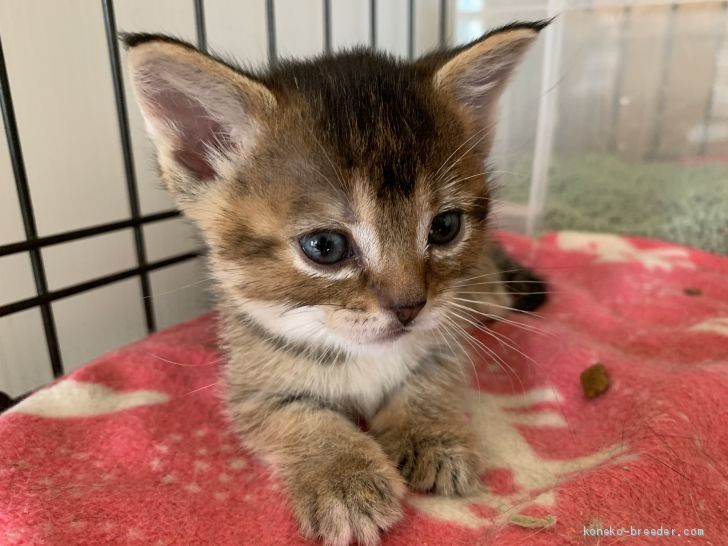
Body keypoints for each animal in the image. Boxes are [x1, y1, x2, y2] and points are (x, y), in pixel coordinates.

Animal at [125, 22, 544, 544]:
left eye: (445, 227)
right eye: (325, 246)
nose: (410, 306)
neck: (359, 354)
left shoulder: (445, 340)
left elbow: (431, 380)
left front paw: (432, 435)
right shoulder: (250, 386)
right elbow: (301, 417)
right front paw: (342, 479)